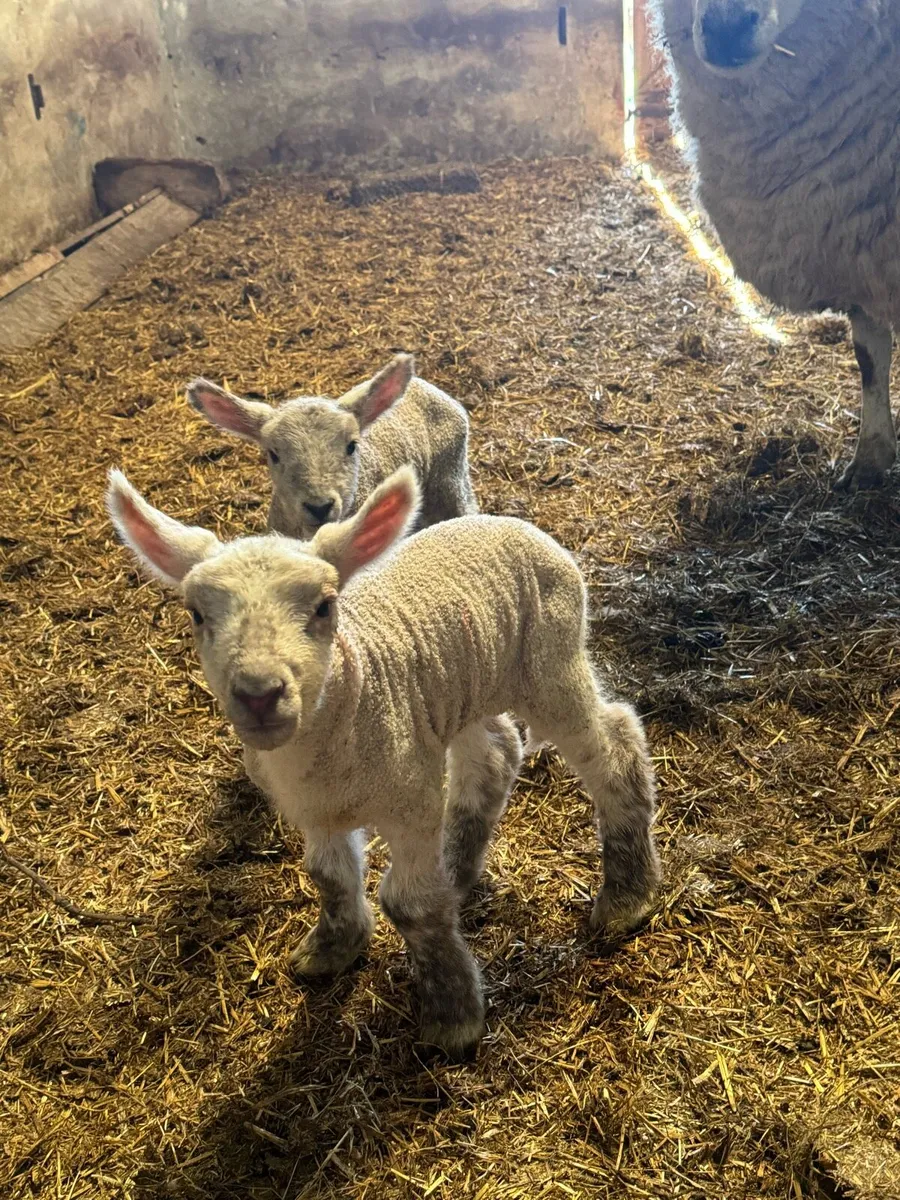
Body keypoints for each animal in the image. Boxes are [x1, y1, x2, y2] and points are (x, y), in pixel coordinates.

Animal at [106, 467, 661, 1055]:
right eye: (196, 614)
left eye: (324, 606)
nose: (259, 693)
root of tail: (509, 522)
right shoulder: (314, 811)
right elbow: (327, 876)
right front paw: (331, 948)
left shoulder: (409, 800)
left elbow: (411, 903)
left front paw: (451, 1016)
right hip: (456, 688)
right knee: (494, 752)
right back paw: (458, 867)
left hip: (550, 659)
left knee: (613, 742)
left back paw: (626, 895)